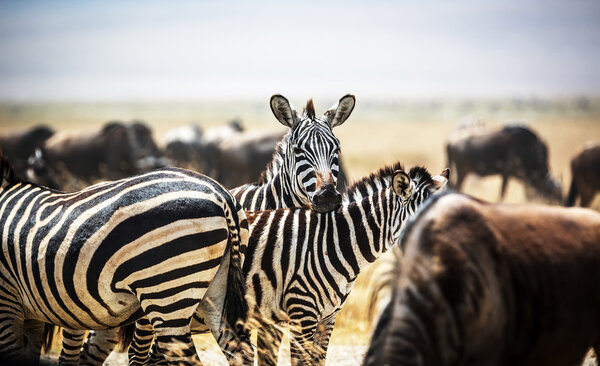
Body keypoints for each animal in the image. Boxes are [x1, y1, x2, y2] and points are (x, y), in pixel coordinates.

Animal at [0, 155, 251, 366]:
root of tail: (221, 195)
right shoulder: (27, 314)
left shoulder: (7, 301)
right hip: (216, 290)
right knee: (239, 348)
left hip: (167, 293)